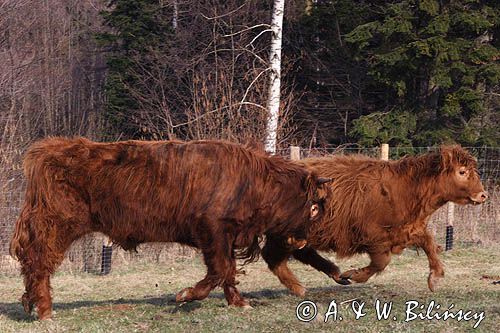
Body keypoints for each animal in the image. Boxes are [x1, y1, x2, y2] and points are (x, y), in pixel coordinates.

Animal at [9, 137, 330, 320]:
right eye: (314, 208)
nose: (304, 241)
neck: (254, 184)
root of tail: (51, 148)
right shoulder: (213, 230)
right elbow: (219, 270)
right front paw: (185, 295)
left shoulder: (227, 236)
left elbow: (228, 272)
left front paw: (239, 302)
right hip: (56, 224)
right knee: (38, 262)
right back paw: (45, 311)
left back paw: (32, 304)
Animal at [262, 144, 488, 294]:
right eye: (462, 172)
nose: (483, 195)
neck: (408, 189)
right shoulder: (374, 237)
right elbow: (382, 261)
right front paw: (355, 274)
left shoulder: (409, 230)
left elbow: (429, 244)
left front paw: (435, 278)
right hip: (286, 233)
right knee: (273, 256)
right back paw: (300, 287)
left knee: (297, 253)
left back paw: (332, 274)